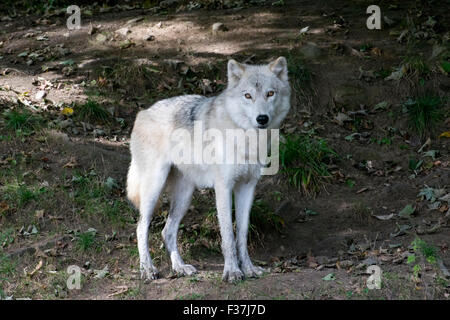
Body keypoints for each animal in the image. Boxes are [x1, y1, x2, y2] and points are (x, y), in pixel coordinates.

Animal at [126, 56, 292, 282]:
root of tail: (142, 112)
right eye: (248, 96)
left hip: (185, 195)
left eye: (270, 93)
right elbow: (228, 236)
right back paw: (148, 269)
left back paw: (180, 267)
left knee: (167, 232)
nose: (262, 118)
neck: (246, 137)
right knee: (141, 227)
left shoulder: (247, 187)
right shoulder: (223, 187)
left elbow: (242, 234)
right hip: (154, 188)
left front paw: (249, 269)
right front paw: (232, 272)